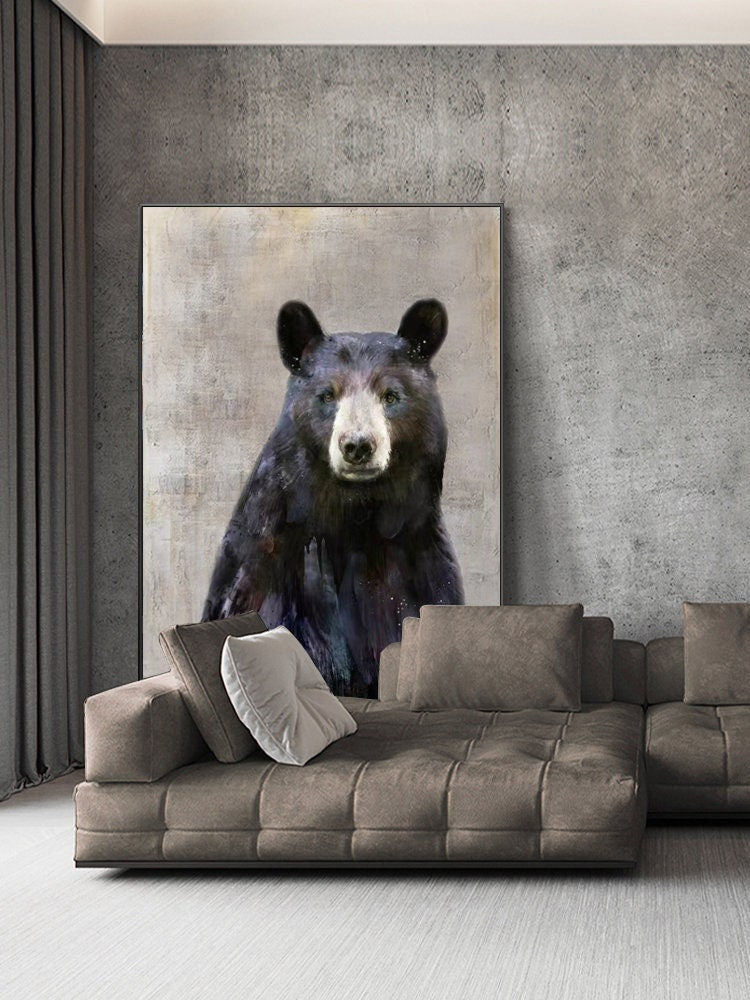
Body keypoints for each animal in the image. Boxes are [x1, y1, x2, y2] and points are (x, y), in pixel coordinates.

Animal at [202, 298, 464, 696]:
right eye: (327, 394)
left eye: (391, 395)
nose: (357, 445)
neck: (354, 515)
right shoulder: (259, 568)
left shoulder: (421, 565)